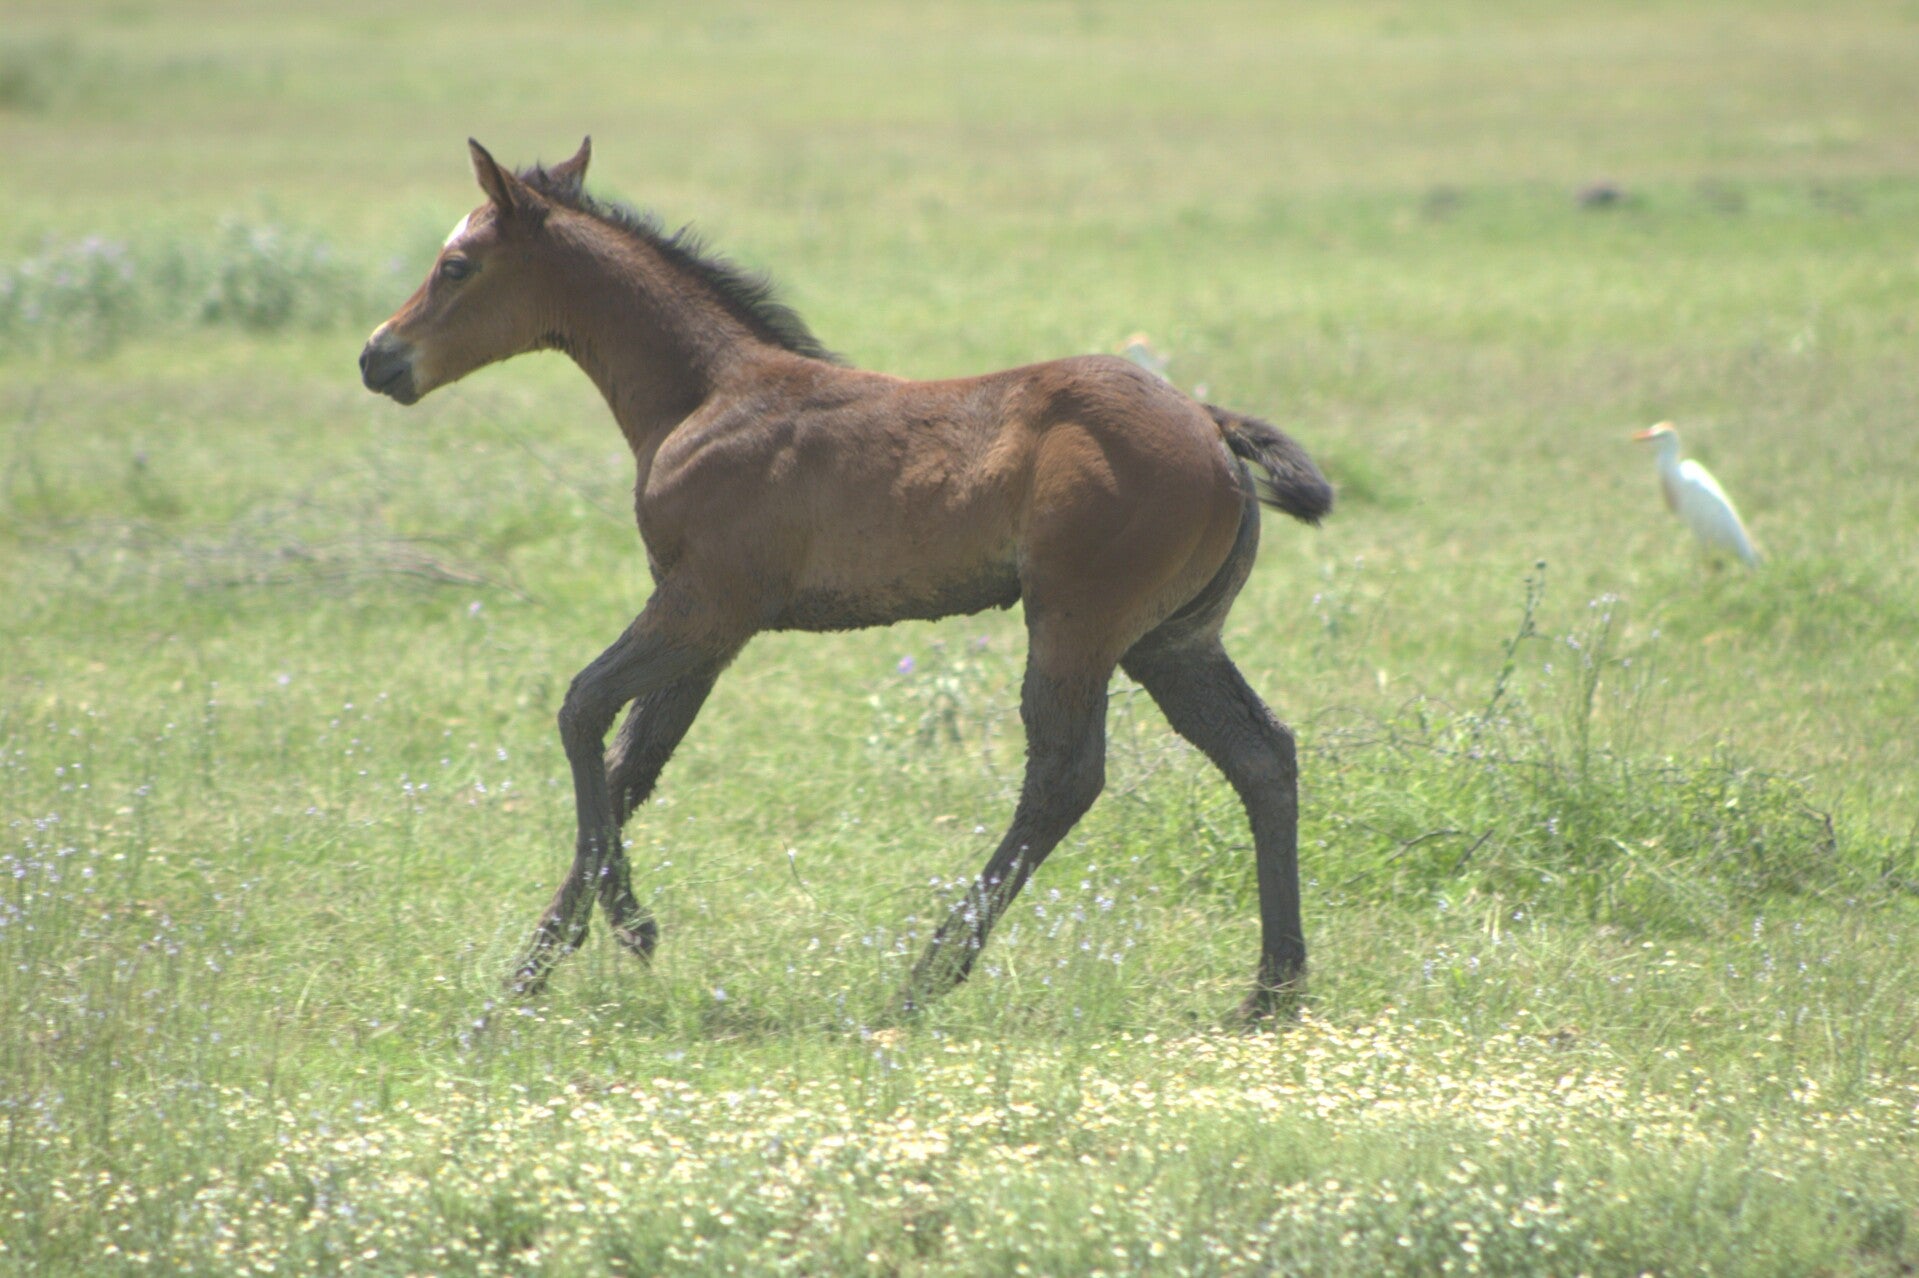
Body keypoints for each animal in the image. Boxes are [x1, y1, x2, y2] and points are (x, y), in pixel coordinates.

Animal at [359, 138, 1333, 1019]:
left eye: (455, 264)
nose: (377, 357)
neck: (706, 395)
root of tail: (1210, 424)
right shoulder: (707, 633)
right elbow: (633, 763)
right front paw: (526, 977)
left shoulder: (706, 605)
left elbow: (580, 708)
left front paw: (629, 928)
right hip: (1172, 640)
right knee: (1260, 753)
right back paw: (1272, 988)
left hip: (1076, 623)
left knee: (1064, 775)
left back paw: (924, 979)